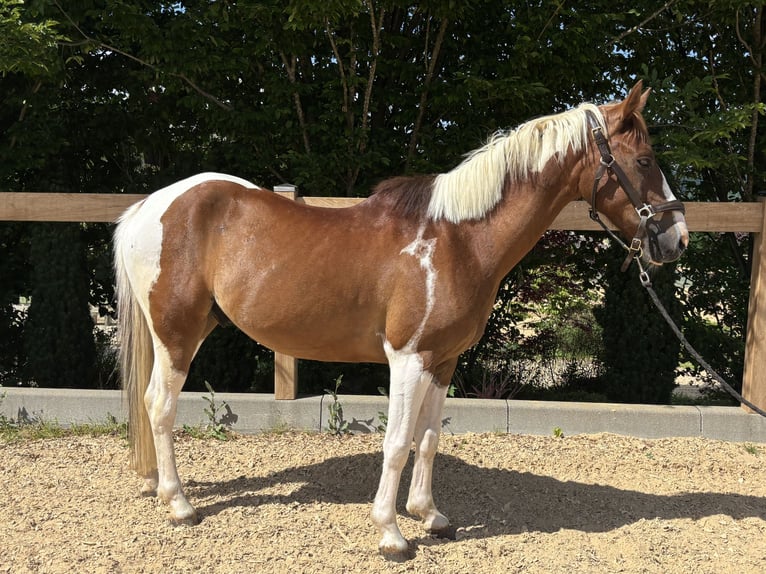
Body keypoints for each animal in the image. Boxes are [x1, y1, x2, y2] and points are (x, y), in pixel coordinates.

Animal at [113, 81, 688, 560]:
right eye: (644, 159)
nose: (676, 239)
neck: (458, 239)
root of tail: (149, 206)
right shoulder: (407, 358)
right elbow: (395, 443)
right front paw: (391, 534)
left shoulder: (442, 359)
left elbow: (427, 439)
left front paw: (429, 516)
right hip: (177, 334)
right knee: (159, 405)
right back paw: (179, 504)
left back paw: (156, 487)